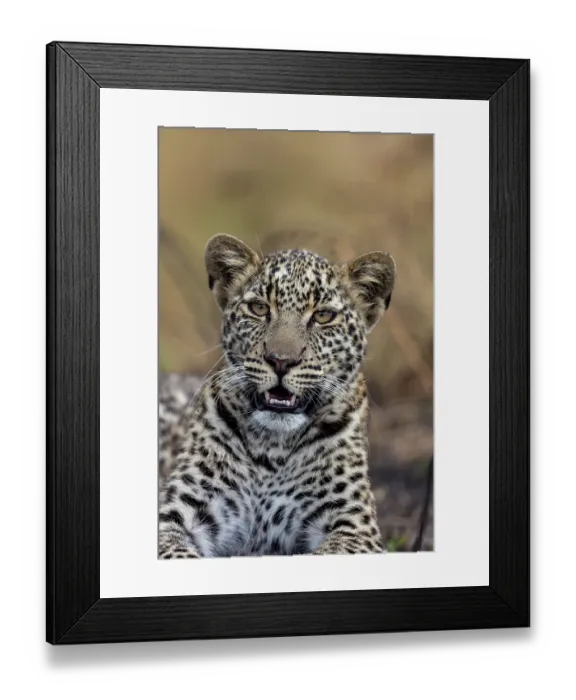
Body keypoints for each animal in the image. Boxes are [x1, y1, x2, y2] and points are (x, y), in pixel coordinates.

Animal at [158, 233, 396, 559]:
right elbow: (178, 553)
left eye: (323, 316)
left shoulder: (354, 525)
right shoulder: (175, 513)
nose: (281, 361)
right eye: (259, 308)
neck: (272, 448)